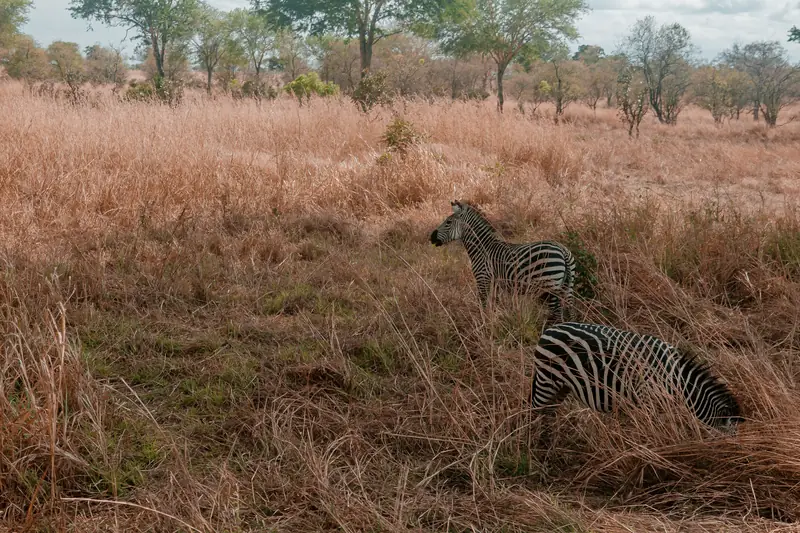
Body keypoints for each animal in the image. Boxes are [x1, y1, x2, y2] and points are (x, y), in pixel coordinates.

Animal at [430, 200, 577, 321]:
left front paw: (484, 323)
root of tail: (563, 250)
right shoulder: (496, 282)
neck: (481, 248)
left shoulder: (482, 278)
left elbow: (483, 304)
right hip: (568, 287)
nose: (431, 237)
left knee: (557, 315)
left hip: (550, 287)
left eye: (448, 222)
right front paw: (493, 322)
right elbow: (494, 304)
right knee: (570, 313)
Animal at [529, 322, 743, 432]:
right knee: (534, 409)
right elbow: (652, 434)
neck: (675, 382)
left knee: (548, 412)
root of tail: (550, 329)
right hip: (547, 379)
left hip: (562, 386)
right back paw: (533, 444)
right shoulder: (647, 399)